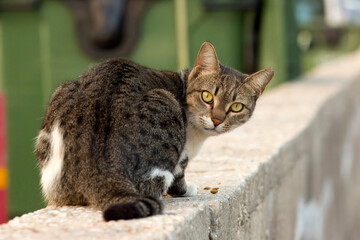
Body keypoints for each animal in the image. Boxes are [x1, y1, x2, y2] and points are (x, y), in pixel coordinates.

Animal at [35, 41, 272, 221]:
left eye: (236, 107)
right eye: (207, 96)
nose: (217, 120)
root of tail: (100, 165)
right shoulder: (182, 157)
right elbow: (178, 180)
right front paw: (188, 189)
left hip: (57, 104)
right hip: (165, 107)